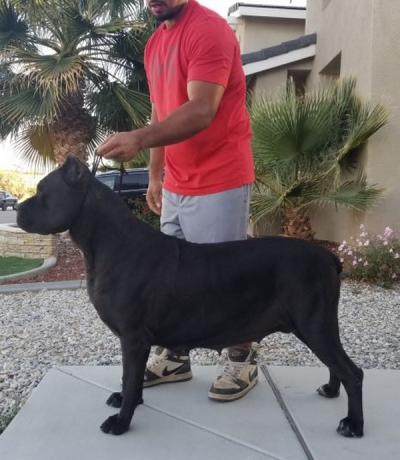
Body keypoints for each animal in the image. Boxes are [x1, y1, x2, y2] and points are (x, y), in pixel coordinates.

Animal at [17, 156, 364, 438]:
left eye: (42, 191)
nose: (17, 207)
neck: (107, 242)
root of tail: (329, 257)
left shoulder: (133, 338)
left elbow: (130, 377)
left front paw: (122, 420)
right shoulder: (136, 341)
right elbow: (132, 378)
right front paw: (129, 400)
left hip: (314, 324)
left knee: (352, 372)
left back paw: (353, 425)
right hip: (317, 326)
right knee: (336, 365)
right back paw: (330, 391)